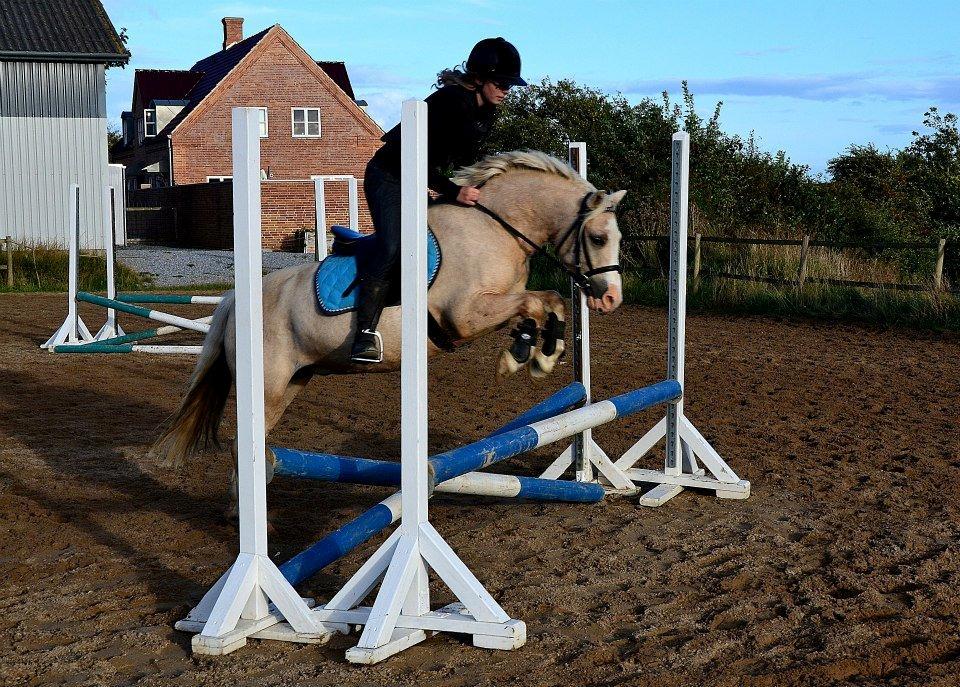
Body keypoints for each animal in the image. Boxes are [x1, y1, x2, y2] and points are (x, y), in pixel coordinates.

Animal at [154, 150, 626, 511]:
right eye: (599, 238)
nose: (611, 299)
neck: (495, 228)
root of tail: (236, 300)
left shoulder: (497, 304)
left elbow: (548, 301)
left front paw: (533, 351)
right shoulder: (463, 316)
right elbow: (536, 301)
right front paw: (532, 356)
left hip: (293, 383)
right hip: (267, 386)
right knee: (245, 445)